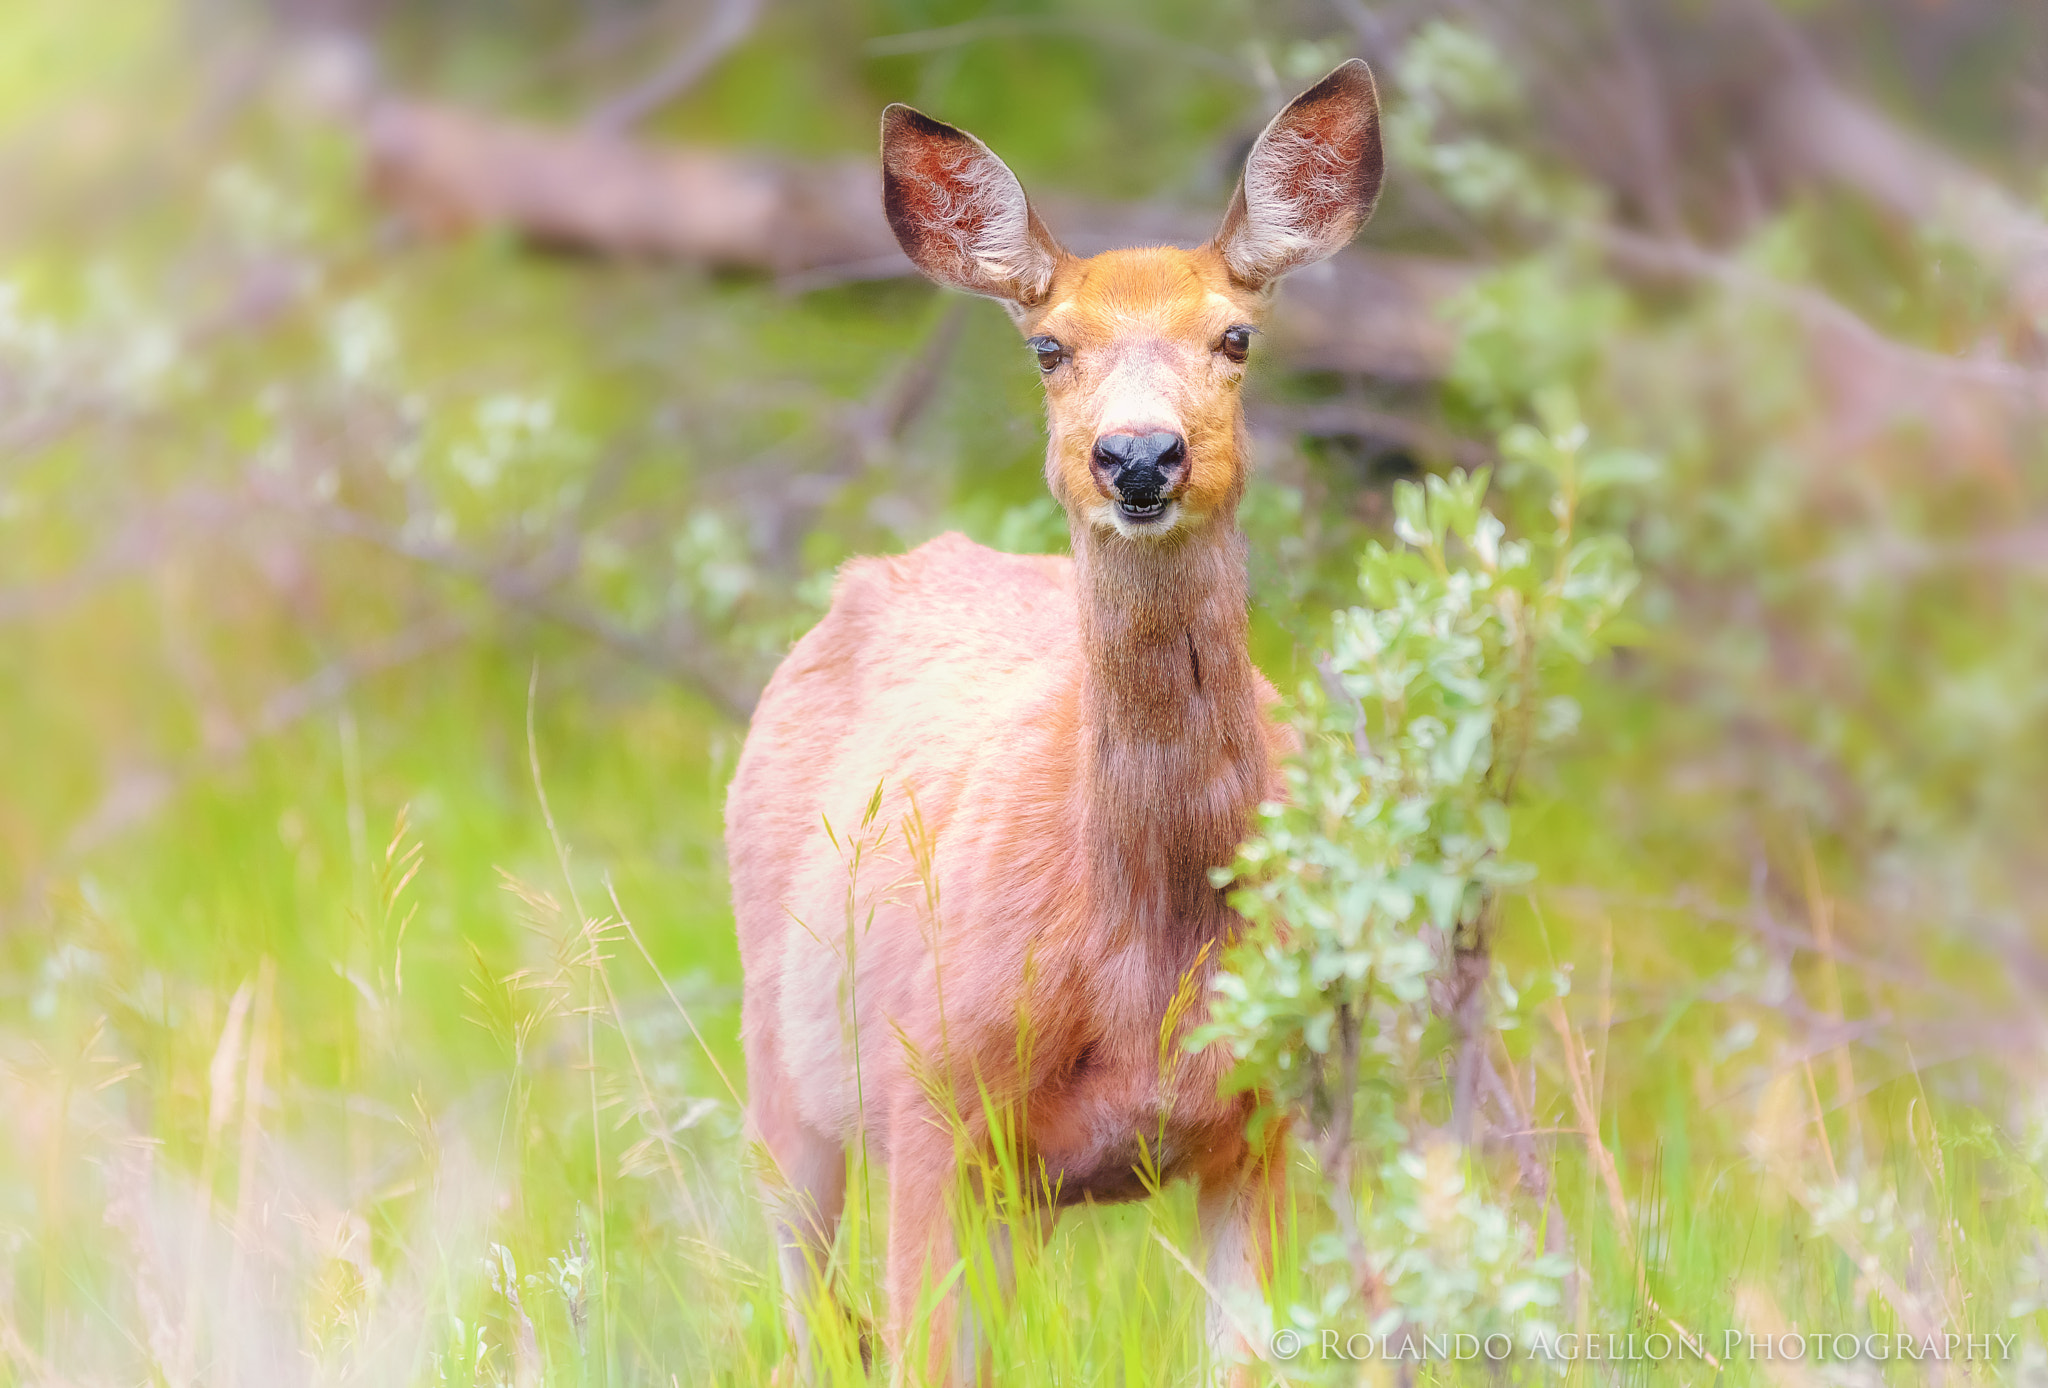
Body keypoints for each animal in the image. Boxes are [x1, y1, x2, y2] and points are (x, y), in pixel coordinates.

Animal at [724, 60, 1382, 1384]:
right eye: (1047, 346)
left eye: (1234, 334)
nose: (1137, 455)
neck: (1139, 955)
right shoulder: (930, 1098)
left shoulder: (1263, 1118)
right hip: (786, 1066)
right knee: (810, 1318)